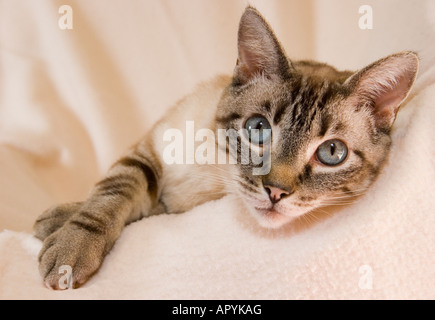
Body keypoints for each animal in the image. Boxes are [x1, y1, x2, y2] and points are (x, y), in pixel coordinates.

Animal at [34, 6, 418, 290]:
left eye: (332, 153)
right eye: (258, 129)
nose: (276, 192)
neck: (214, 171)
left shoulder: (173, 207)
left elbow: (145, 207)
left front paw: (62, 235)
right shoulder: (150, 148)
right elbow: (111, 194)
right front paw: (69, 241)